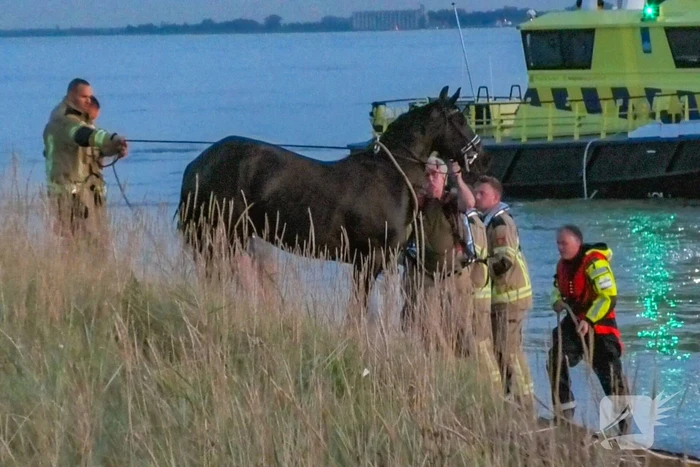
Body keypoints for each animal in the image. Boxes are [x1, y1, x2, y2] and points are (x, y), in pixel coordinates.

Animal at [177, 85, 487, 310]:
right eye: (459, 119)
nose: (479, 155)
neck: (389, 175)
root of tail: (199, 164)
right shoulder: (369, 259)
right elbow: (358, 309)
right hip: (222, 235)